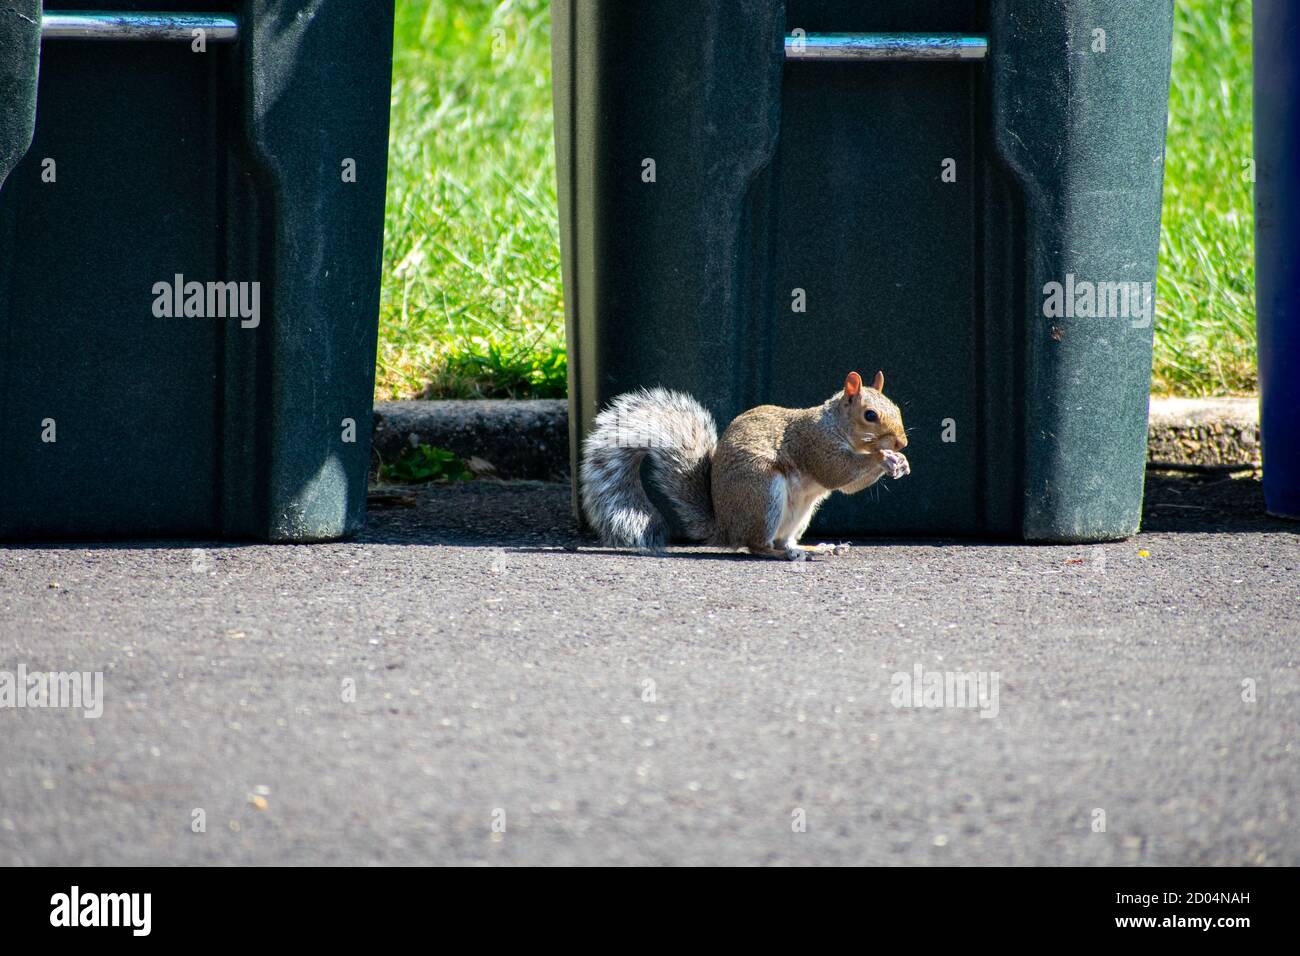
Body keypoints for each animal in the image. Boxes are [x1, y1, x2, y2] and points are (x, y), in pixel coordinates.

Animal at [580, 370, 909, 560]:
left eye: (897, 408)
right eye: (870, 415)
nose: (901, 444)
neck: (833, 424)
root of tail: (727, 530)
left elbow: (850, 486)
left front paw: (900, 462)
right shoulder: (814, 444)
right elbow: (837, 473)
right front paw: (883, 457)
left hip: (800, 513)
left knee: (783, 541)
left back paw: (813, 548)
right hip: (763, 494)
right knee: (758, 546)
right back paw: (784, 555)